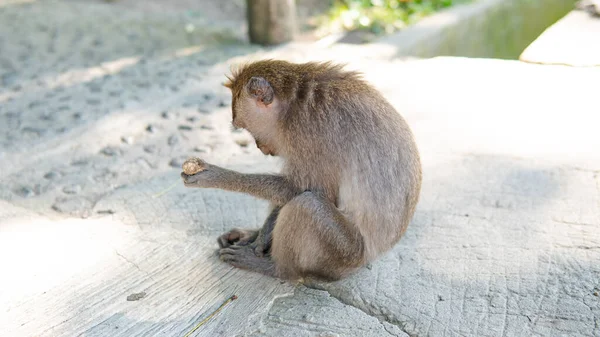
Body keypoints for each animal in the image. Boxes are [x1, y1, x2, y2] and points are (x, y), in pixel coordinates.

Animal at [183, 59, 422, 280]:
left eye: (245, 127)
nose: (259, 147)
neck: (292, 104)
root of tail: (367, 260)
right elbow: (291, 191)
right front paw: (258, 235)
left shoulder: (309, 133)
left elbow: (303, 189)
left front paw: (214, 176)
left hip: (343, 255)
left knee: (307, 204)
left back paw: (276, 268)